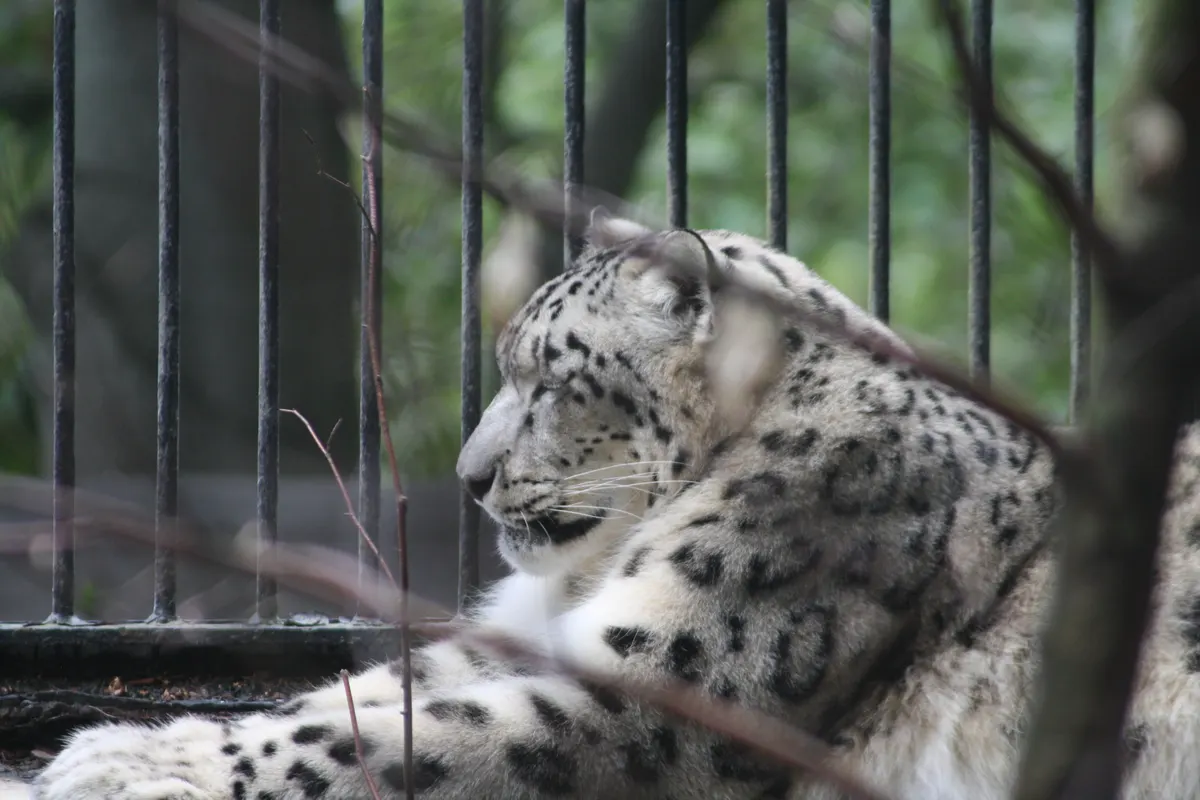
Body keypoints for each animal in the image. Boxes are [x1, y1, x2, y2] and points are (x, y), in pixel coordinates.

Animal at [25, 213, 1200, 799]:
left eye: (550, 377)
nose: (471, 476)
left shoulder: (673, 687)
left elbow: (399, 737)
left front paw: (130, 768)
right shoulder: (533, 635)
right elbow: (361, 696)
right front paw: (133, 747)